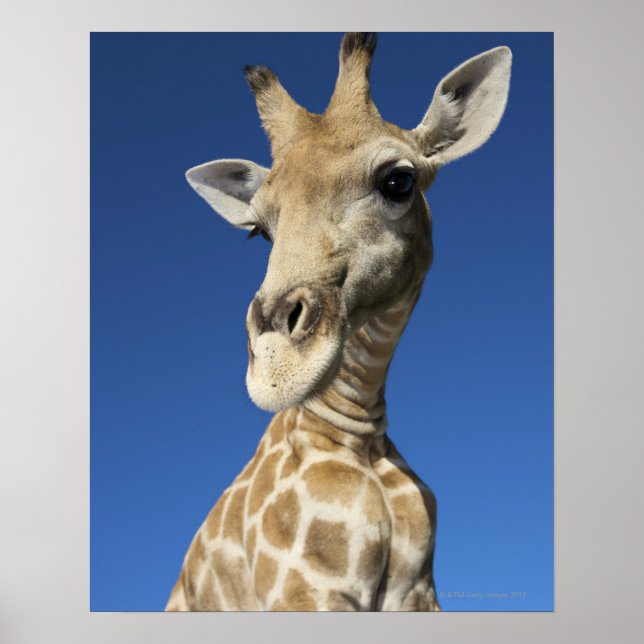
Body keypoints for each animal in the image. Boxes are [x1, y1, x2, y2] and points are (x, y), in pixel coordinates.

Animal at [166, 33, 511, 612]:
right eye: (259, 230)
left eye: (398, 181)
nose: (276, 366)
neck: (358, 434)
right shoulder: (308, 588)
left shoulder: (417, 592)